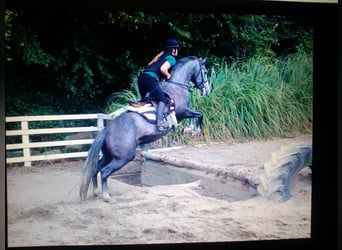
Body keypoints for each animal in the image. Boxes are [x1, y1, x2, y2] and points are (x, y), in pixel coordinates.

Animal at [79, 56, 210, 201]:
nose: (207, 90)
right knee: (104, 171)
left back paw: (96, 192)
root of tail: (107, 130)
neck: (176, 85)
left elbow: (197, 115)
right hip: (123, 157)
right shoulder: (182, 112)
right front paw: (193, 131)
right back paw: (107, 196)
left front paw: (189, 130)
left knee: (96, 168)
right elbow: (199, 114)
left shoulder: (185, 112)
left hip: (109, 155)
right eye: (205, 72)